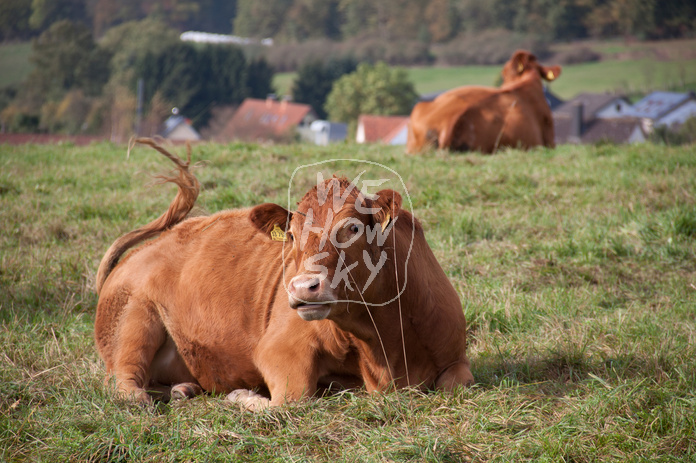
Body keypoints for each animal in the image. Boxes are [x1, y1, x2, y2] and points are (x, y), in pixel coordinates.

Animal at [94, 140, 474, 412]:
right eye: (290, 235)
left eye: (352, 227)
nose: (303, 287)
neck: (385, 344)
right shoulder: (280, 347)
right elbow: (291, 400)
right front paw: (243, 397)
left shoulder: (456, 358)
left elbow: (457, 384)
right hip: (134, 319)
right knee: (124, 380)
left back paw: (184, 388)